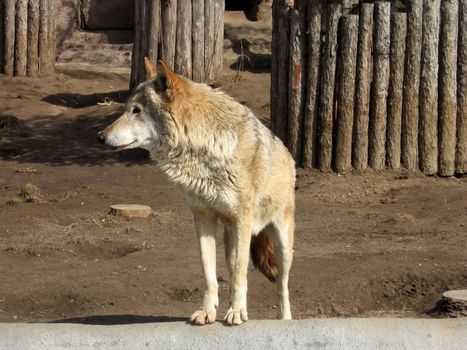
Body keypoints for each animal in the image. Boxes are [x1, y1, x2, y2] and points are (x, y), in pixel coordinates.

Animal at [97, 58, 296, 326]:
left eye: (136, 110)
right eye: (127, 109)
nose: (100, 136)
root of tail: (288, 154)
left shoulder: (243, 219)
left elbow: (241, 276)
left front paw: (237, 313)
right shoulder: (203, 218)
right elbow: (210, 274)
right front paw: (208, 312)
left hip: (281, 243)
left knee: (282, 285)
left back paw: (284, 320)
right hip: (231, 241)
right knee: (233, 269)